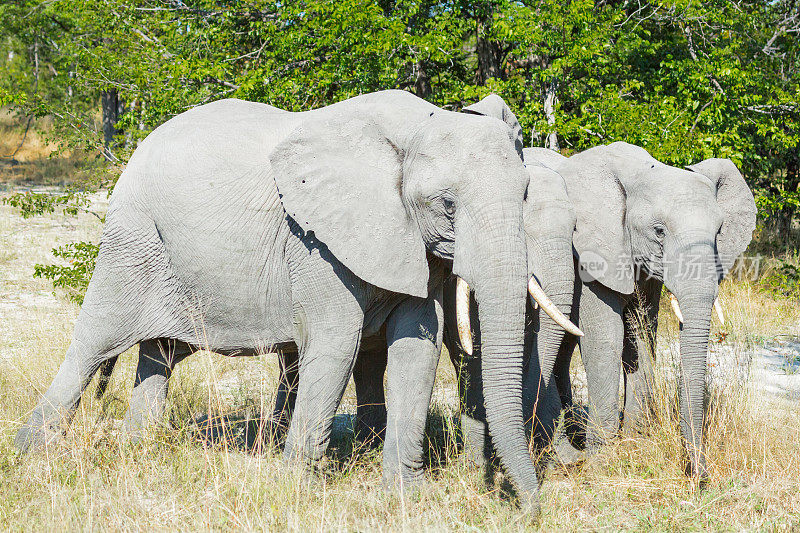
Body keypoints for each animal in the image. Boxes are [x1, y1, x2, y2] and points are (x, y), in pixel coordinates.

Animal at [15, 90, 552, 512]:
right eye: (447, 204)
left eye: (527, 195)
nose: (527, 511)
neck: (417, 127)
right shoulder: (316, 244)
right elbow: (337, 346)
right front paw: (296, 492)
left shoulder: (408, 242)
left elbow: (417, 350)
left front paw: (404, 500)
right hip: (132, 239)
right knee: (93, 343)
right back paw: (30, 455)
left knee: (159, 356)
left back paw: (139, 451)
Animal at [524, 144, 756, 478]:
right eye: (659, 231)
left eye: (719, 232)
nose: (700, 476)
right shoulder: (592, 254)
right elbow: (606, 336)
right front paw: (602, 459)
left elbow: (641, 334)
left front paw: (635, 439)